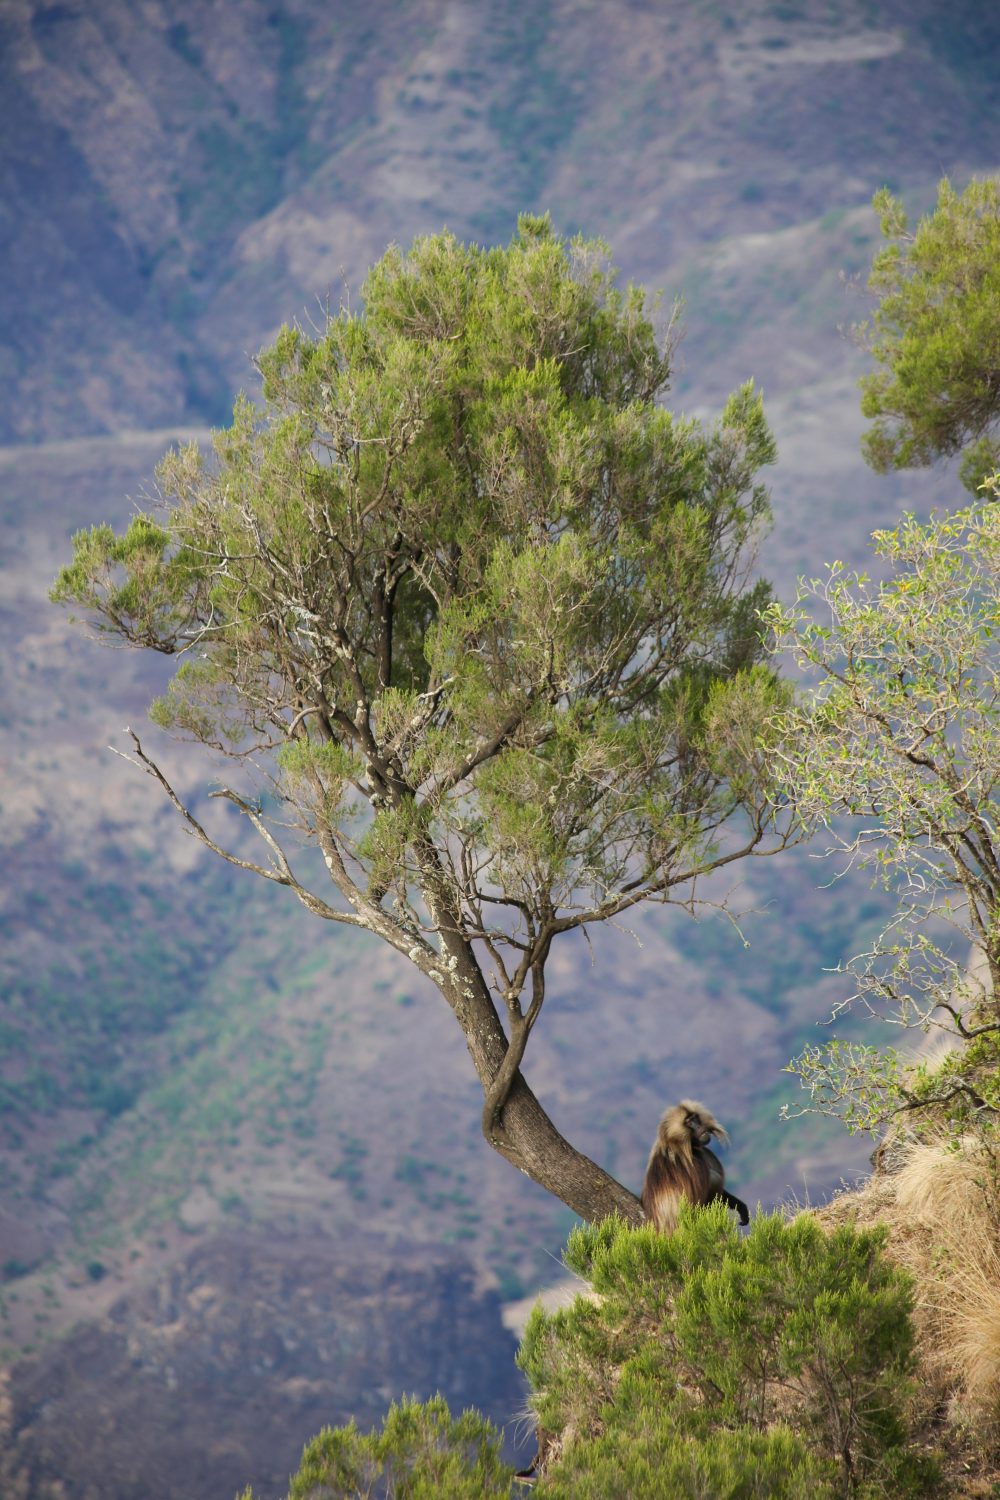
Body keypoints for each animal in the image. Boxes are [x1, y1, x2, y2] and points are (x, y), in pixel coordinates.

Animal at [641, 1099, 750, 1233]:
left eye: (695, 1118)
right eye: (689, 1122)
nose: (699, 1127)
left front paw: (741, 1208)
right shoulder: (696, 1161)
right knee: (714, 1178)